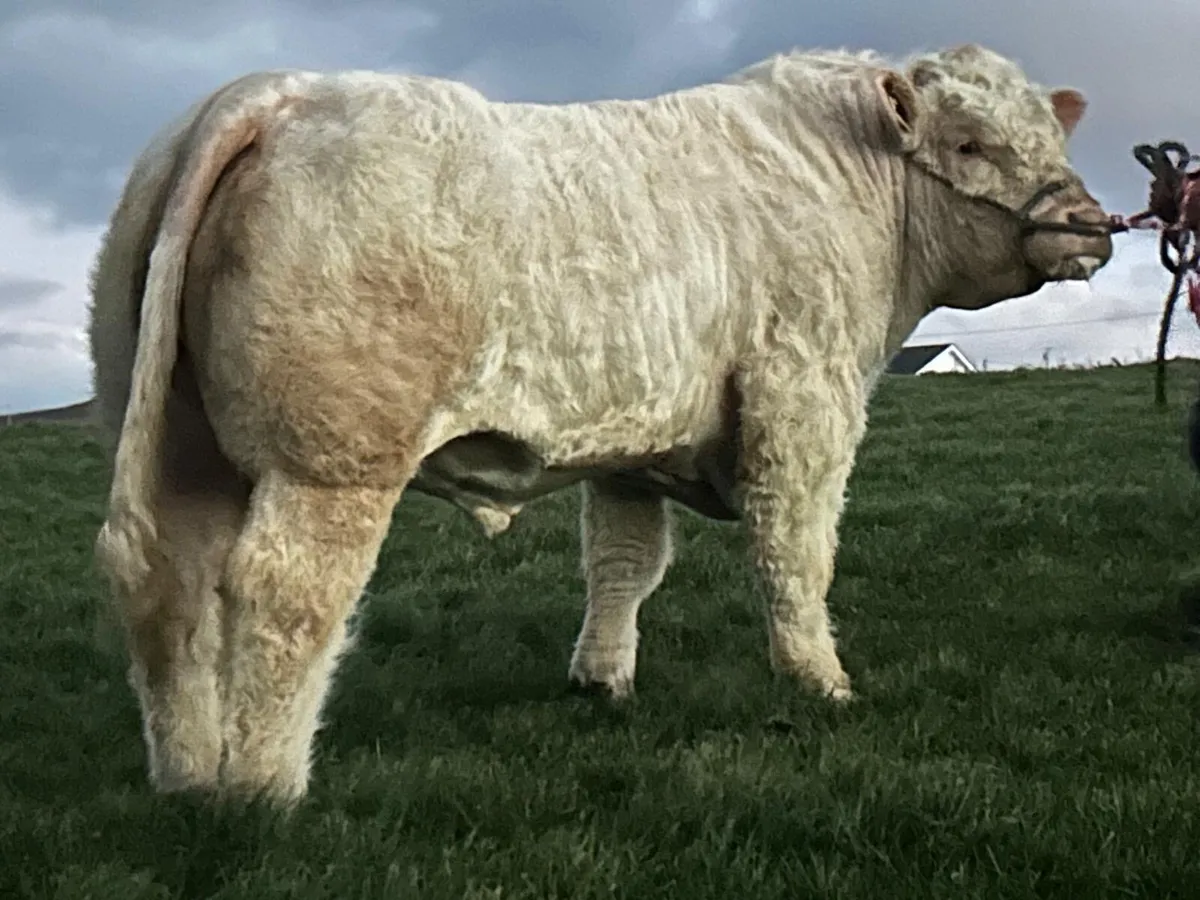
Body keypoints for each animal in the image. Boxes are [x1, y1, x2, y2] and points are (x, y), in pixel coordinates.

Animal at [87, 42, 1115, 805]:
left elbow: (624, 563)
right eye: (972, 144)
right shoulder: (804, 397)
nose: (1090, 223)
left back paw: (187, 780)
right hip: (332, 457)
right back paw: (261, 792)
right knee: (284, 592)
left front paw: (602, 680)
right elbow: (796, 550)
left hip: (179, 441)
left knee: (167, 579)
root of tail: (276, 92)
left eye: (1044, 134)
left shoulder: (633, 443)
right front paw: (820, 683)